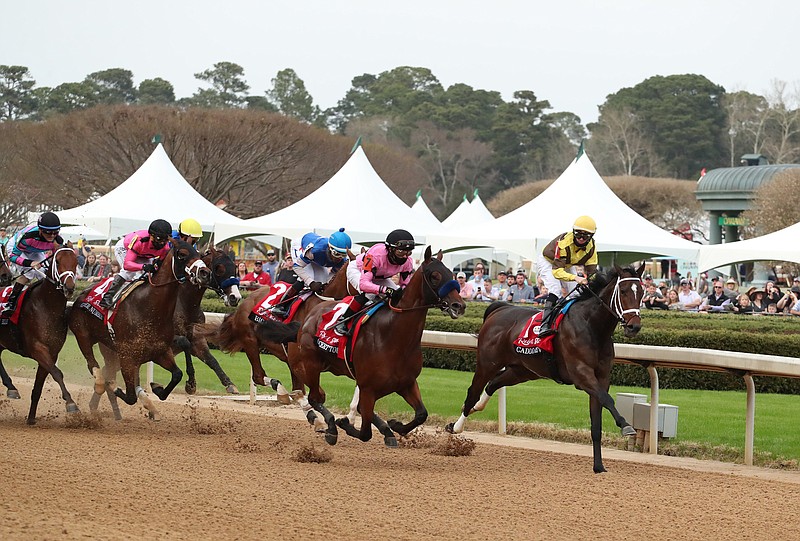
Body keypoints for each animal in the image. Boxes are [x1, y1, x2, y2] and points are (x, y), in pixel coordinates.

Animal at [0, 245, 79, 422]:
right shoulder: (37, 348)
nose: (69, 287)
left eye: (76, 262)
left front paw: (31, 418)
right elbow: (57, 373)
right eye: (58, 261)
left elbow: (38, 387)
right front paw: (71, 403)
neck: (47, 306)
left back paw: (11, 388)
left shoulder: (52, 353)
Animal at [69, 236, 211, 418]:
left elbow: (177, 374)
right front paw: (115, 387)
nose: (205, 273)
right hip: (83, 335)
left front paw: (158, 388)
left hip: (109, 349)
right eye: (182, 254)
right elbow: (129, 396)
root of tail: (81, 295)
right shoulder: (128, 357)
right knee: (93, 365)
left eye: (199, 253)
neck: (148, 307)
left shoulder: (159, 351)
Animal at [250, 247, 462, 446]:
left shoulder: (406, 383)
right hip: (309, 366)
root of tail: (305, 322)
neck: (394, 336)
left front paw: (395, 425)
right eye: (435, 276)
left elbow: (421, 414)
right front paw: (345, 424)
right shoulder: (368, 388)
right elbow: (365, 432)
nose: (459, 305)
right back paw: (330, 427)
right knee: (315, 397)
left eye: (452, 275)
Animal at [446, 264, 648, 470]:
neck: (592, 326)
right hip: (488, 364)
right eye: (623, 291)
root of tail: (500, 309)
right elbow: (608, 400)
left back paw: (476, 408)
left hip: (522, 371)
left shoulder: (602, 378)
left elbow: (597, 422)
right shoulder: (581, 374)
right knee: (473, 392)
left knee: (492, 385)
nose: (634, 327)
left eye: (642, 292)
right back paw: (456, 426)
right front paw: (626, 425)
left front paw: (599, 466)